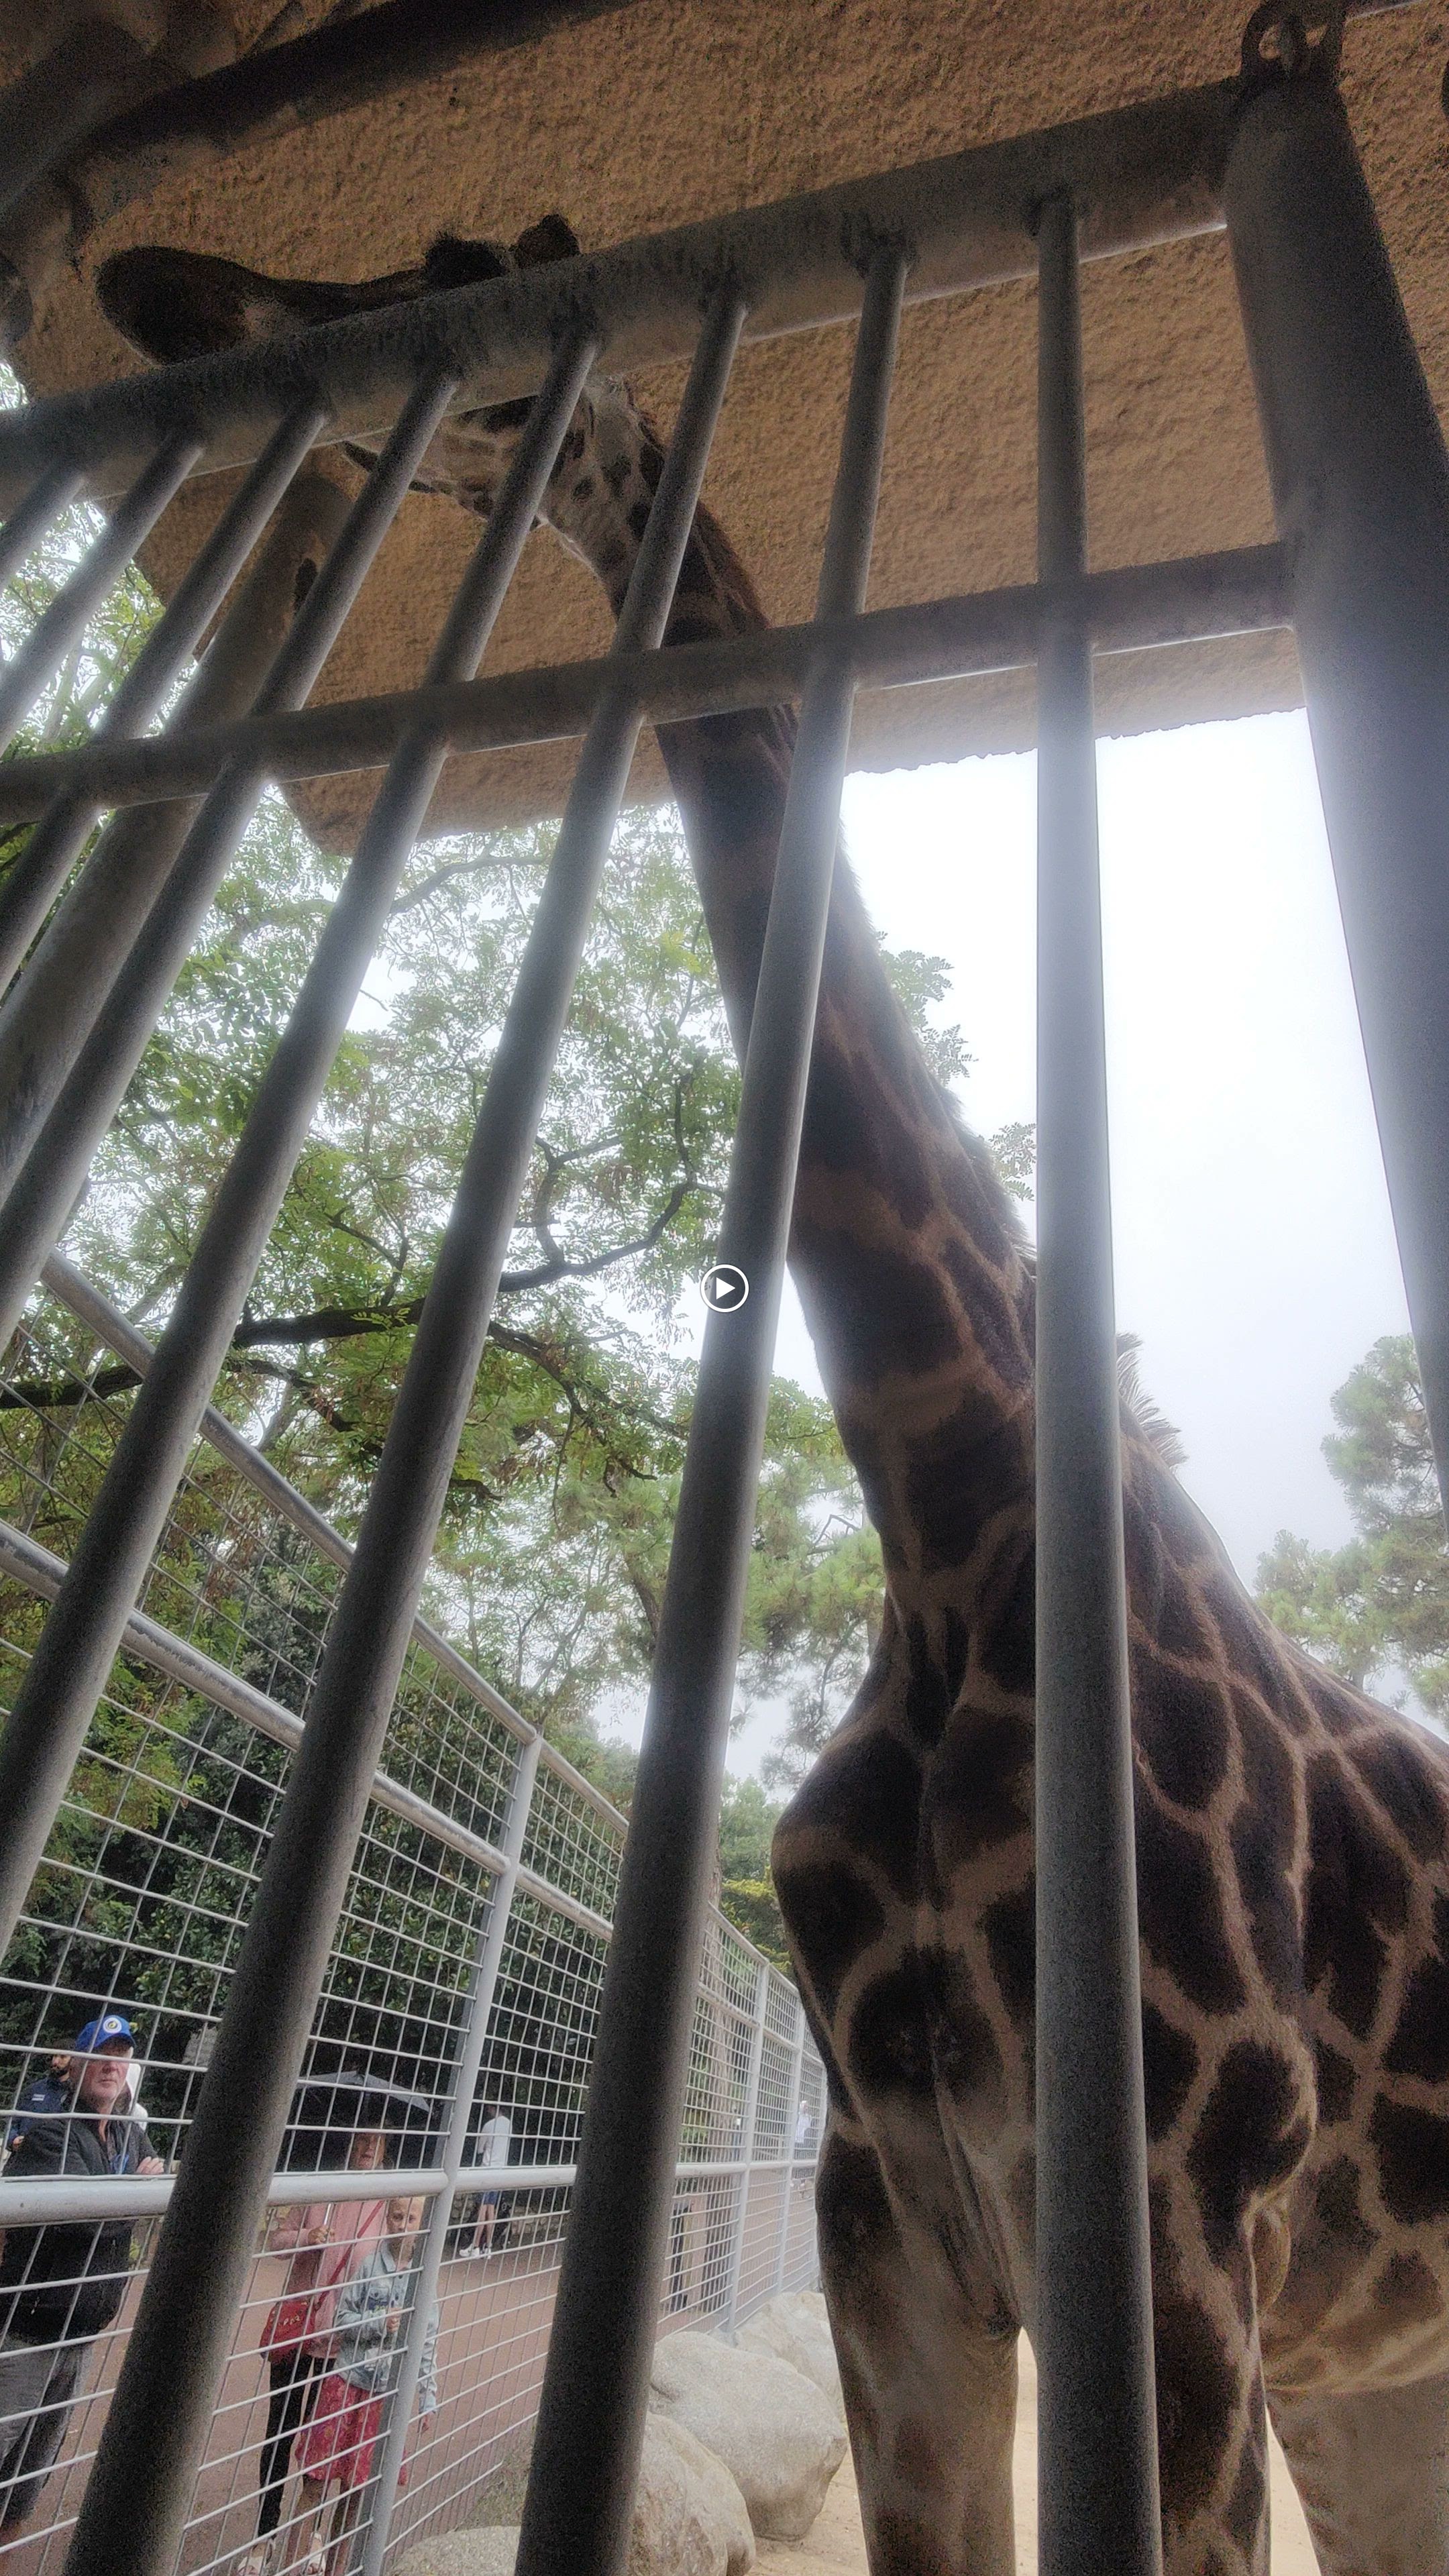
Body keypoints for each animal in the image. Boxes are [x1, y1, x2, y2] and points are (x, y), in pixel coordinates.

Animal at [94, 220, 1449, 2575]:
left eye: (468, 290)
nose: (161, 284)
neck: (952, 1513)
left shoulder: (1184, 2237)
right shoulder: (888, 2217)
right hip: (1387, 2367)